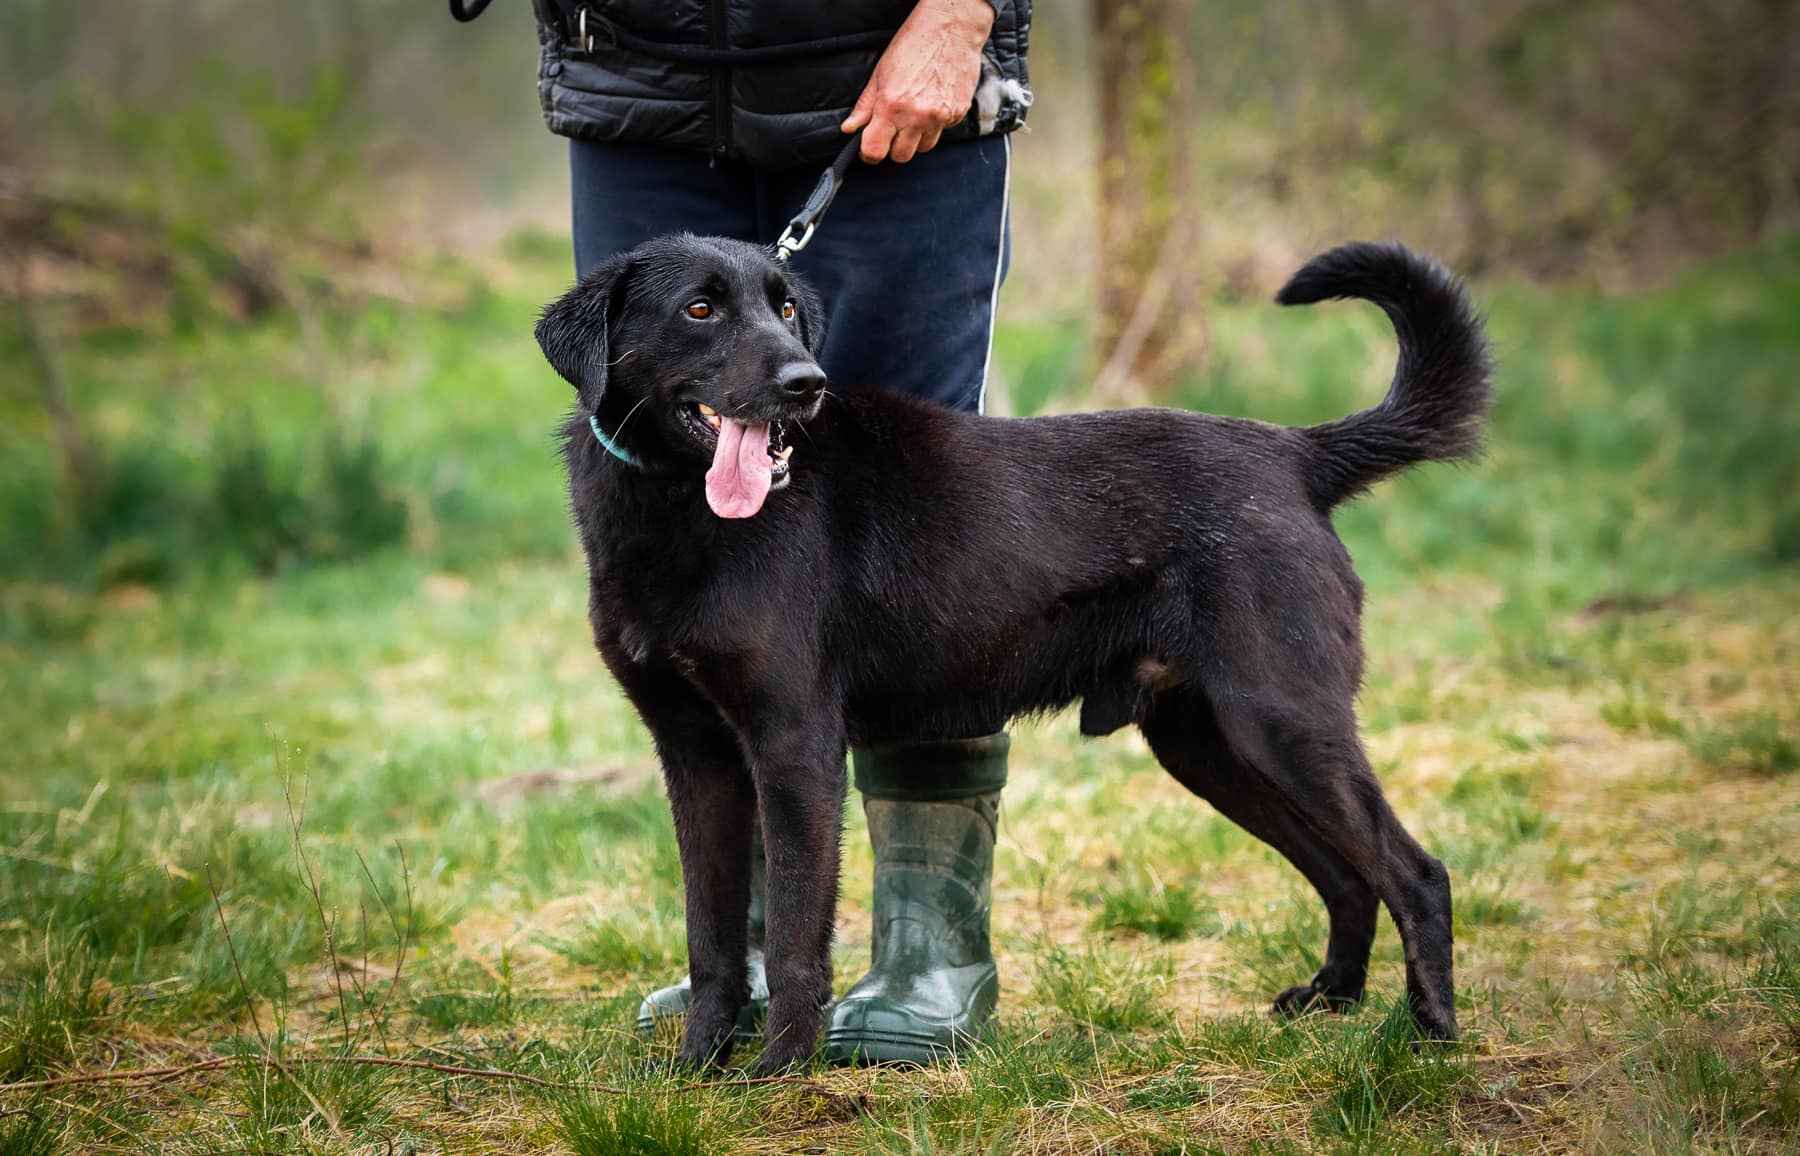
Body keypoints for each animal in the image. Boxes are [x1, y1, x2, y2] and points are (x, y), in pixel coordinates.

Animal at [536, 234, 1490, 1073]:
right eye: (699, 309)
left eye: (786, 309)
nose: (806, 384)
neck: (678, 509)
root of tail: (1295, 454)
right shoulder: (696, 757)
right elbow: (712, 940)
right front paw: (694, 1068)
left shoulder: (793, 748)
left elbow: (801, 935)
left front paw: (779, 1073)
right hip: (1210, 744)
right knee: (1348, 875)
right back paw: (1333, 1001)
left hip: (1281, 721)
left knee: (1416, 873)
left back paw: (1430, 1040)